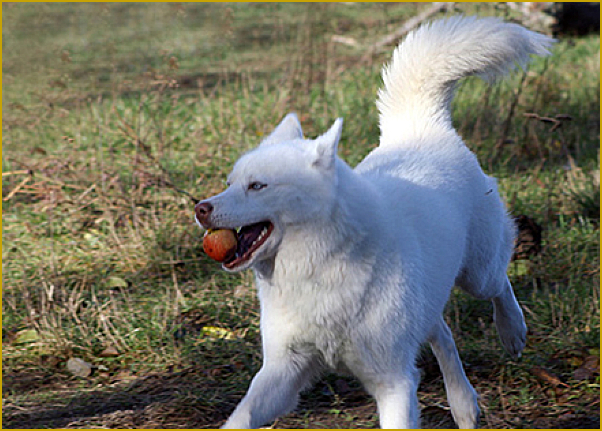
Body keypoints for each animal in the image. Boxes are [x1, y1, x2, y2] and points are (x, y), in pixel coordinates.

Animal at [195, 16, 552, 428]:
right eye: (230, 183)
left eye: (257, 186)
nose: (200, 209)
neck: (320, 267)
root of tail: (420, 125)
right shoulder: (284, 370)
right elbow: (241, 416)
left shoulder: (393, 381)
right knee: (443, 334)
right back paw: (463, 404)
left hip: (477, 275)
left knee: (499, 284)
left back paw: (513, 332)